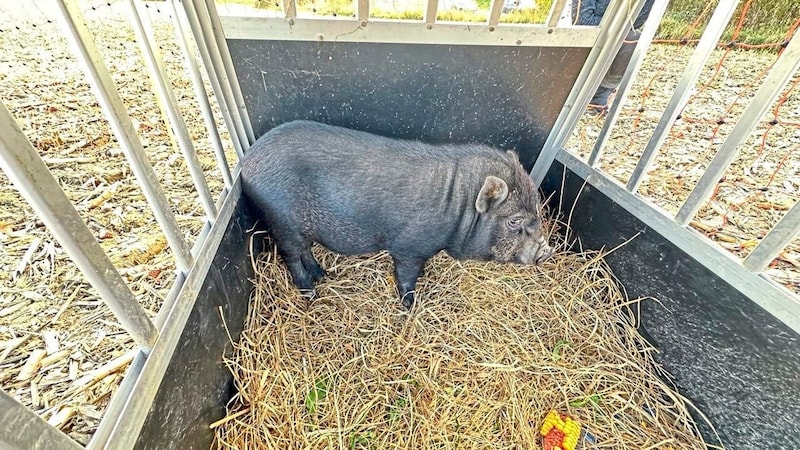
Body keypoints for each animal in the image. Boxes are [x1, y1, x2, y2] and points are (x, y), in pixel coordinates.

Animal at [244, 120, 552, 310]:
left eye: (537, 210)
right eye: (514, 221)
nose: (547, 251)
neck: (460, 204)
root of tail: (247, 164)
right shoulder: (409, 247)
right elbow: (406, 275)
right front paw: (410, 305)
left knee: (306, 249)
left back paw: (323, 275)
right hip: (283, 221)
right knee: (291, 255)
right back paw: (311, 292)